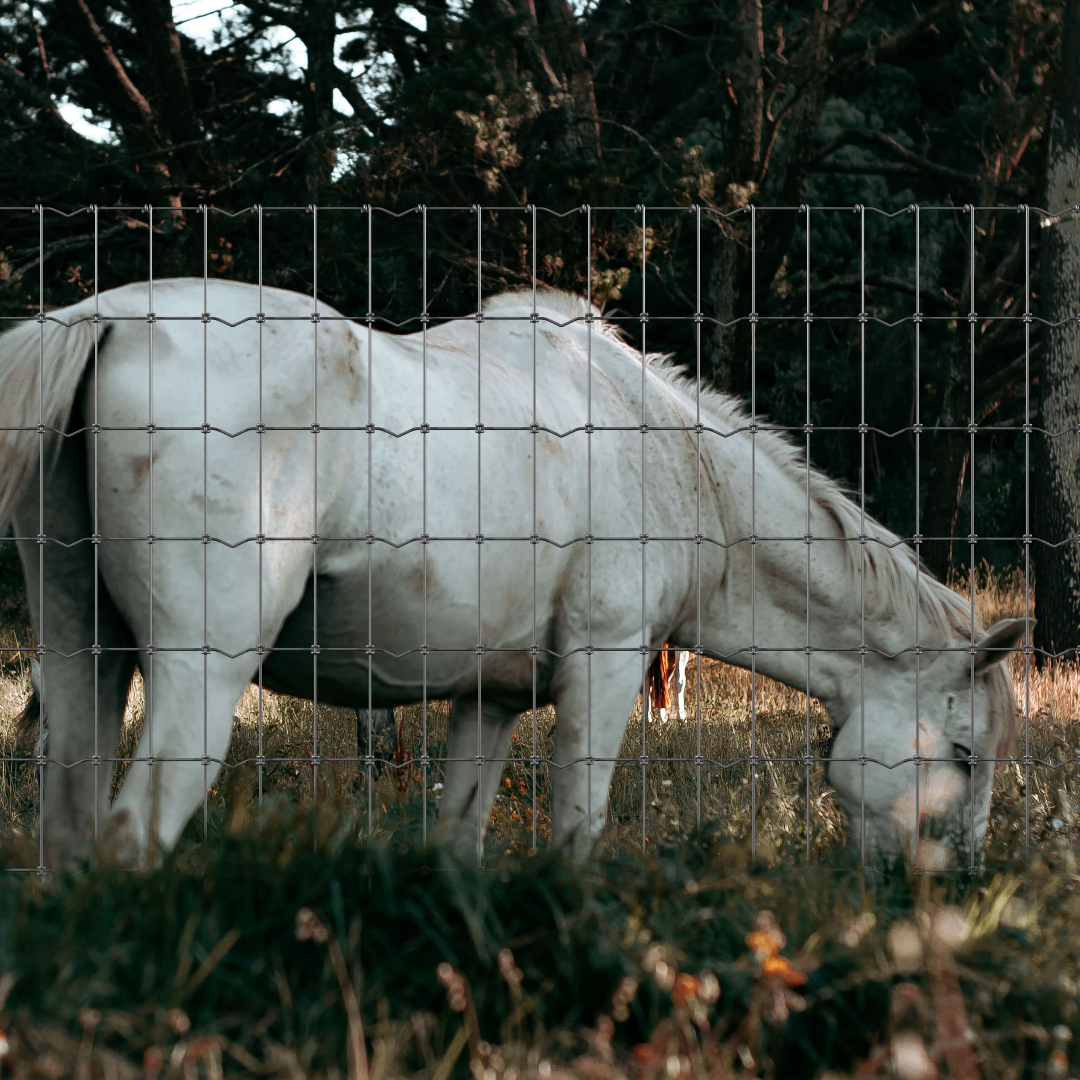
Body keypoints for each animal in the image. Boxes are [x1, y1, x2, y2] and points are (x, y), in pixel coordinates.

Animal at [0, 280, 1023, 868]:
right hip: (200, 678)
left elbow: (459, 842)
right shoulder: (605, 671)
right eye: (964, 754)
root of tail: (107, 318)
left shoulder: (488, 703)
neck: (668, 454)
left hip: (85, 662)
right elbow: (575, 835)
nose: (957, 885)